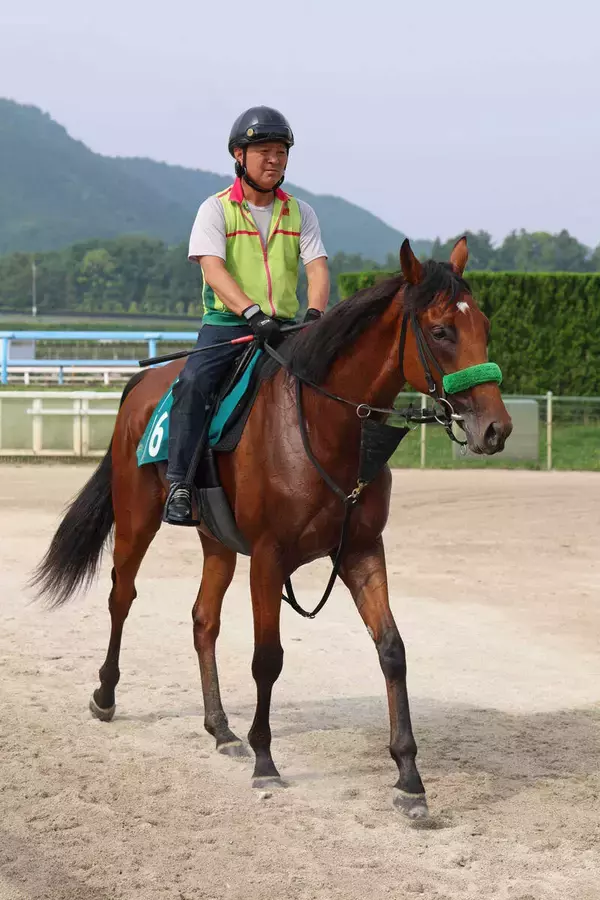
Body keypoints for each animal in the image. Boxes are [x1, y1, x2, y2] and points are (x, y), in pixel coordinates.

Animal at [32, 238, 512, 821]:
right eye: (441, 331)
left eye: (483, 324)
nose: (497, 428)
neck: (324, 428)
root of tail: (143, 383)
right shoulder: (267, 556)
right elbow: (269, 658)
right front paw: (266, 760)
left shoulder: (361, 550)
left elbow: (392, 650)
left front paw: (408, 777)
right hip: (137, 518)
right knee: (121, 596)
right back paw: (105, 696)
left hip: (217, 543)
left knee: (203, 620)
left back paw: (220, 729)